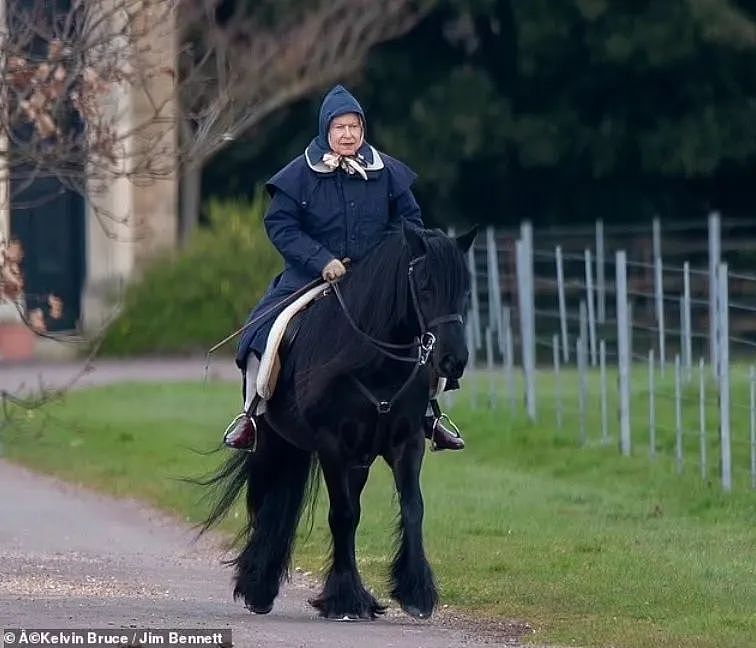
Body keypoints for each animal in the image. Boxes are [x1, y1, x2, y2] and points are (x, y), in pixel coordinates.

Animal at [198, 225, 476, 620]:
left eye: (464, 291)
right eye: (424, 288)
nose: (454, 361)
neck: (375, 363)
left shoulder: (406, 442)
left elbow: (412, 508)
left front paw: (416, 592)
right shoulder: (332, 445)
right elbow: (343, 515)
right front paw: (346, 598)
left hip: (356, 459)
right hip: (274, 443)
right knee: (265, 502)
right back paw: (258, 588)